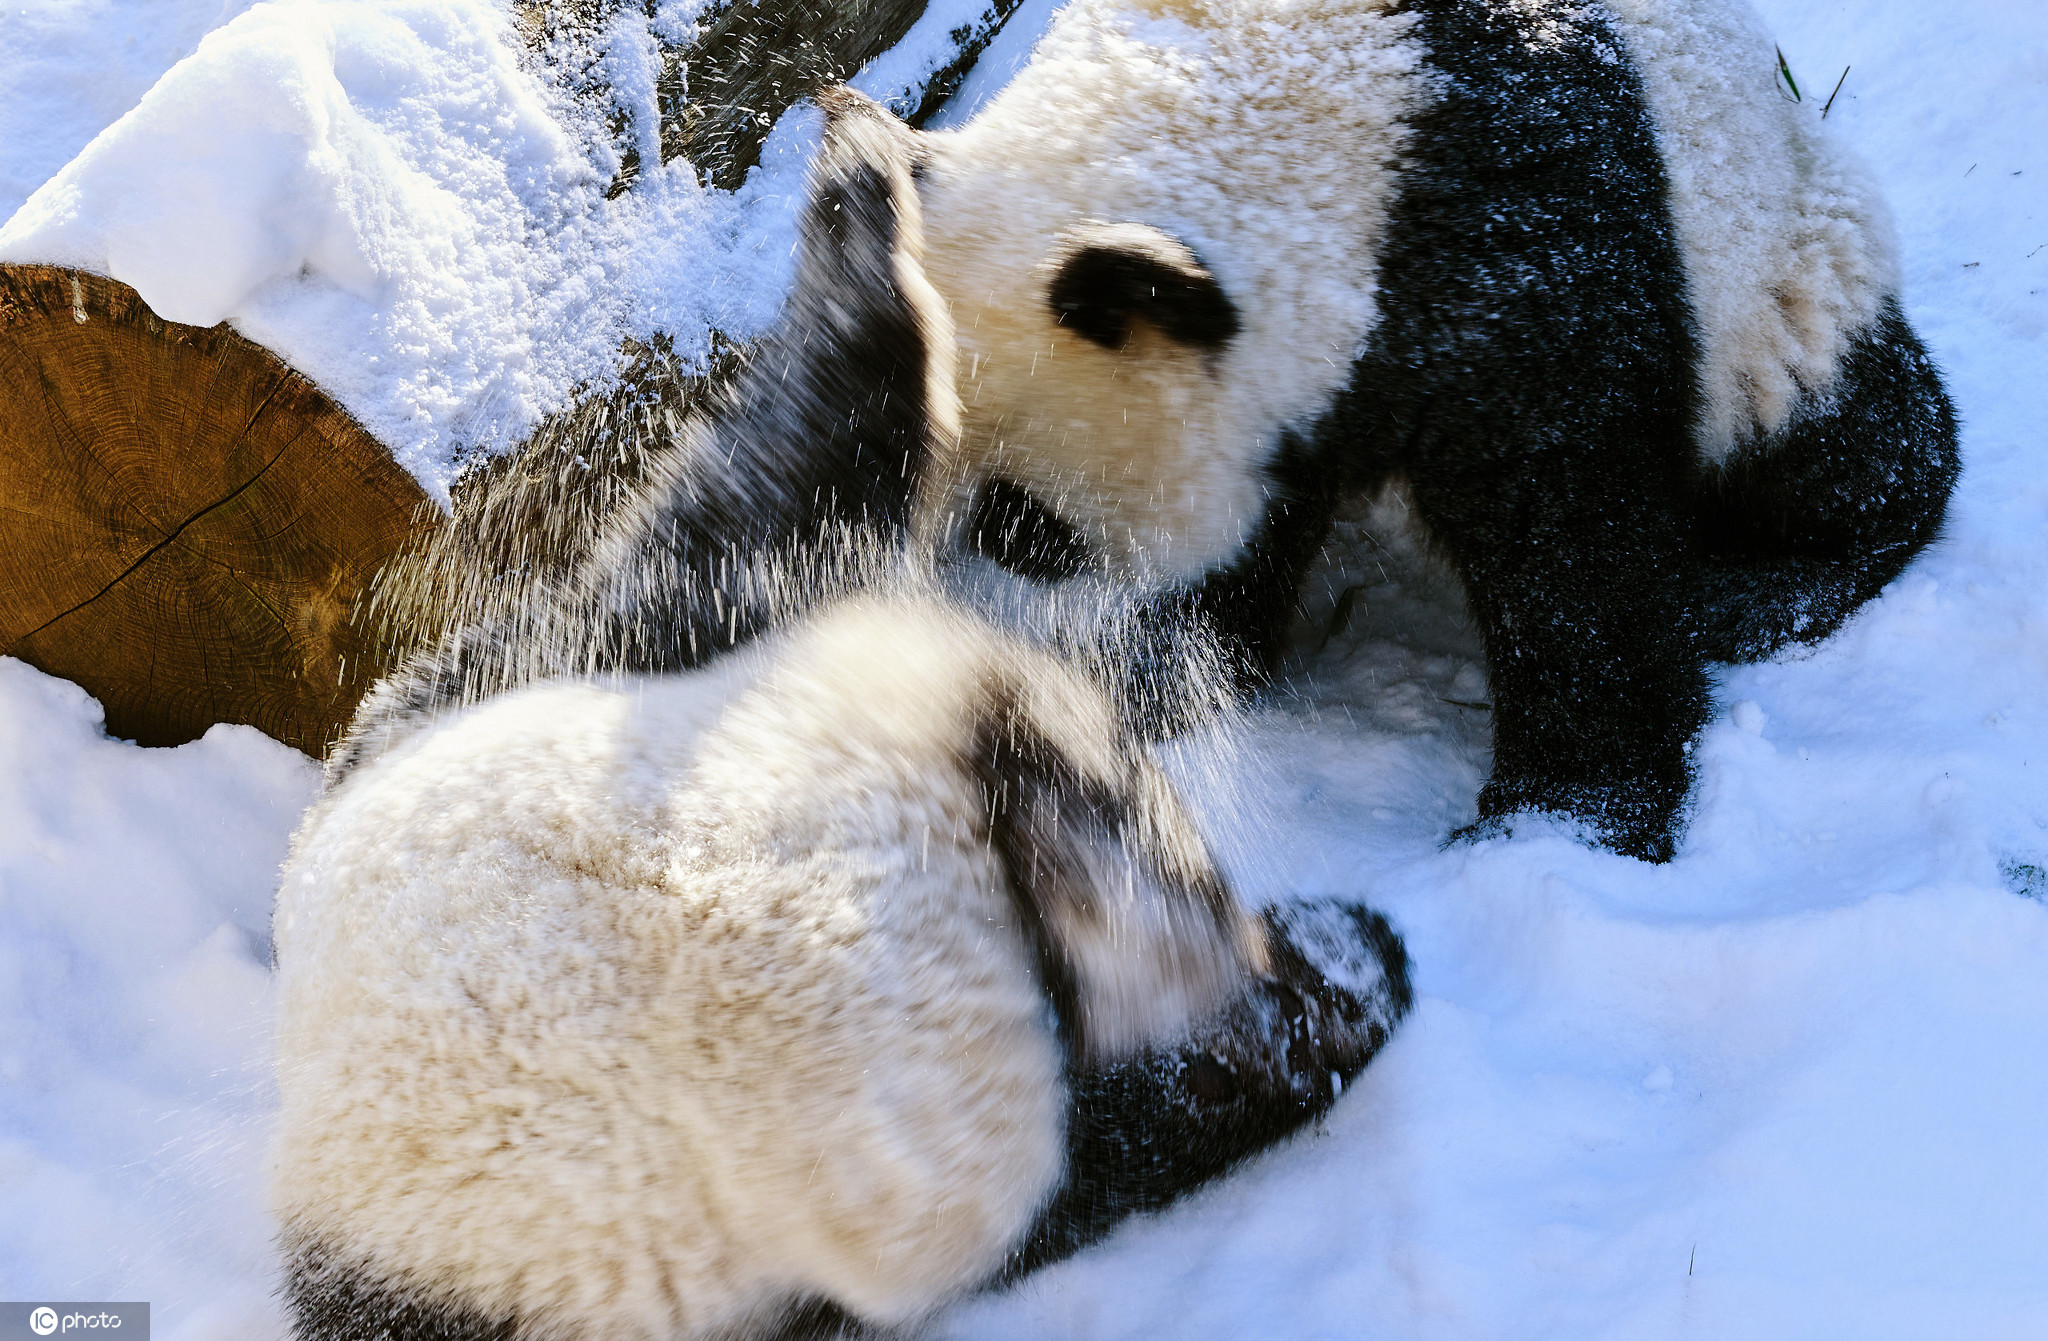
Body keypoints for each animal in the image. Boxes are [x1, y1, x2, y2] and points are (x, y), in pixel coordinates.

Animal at [909, 0, 1949, 859]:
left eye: (1024, 527)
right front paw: (1159, 682)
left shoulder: (1525, 243)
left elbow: (1571, 544)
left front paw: (1559, 824)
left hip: (1774, 269)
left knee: (1840, 432)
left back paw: (1771, 582)